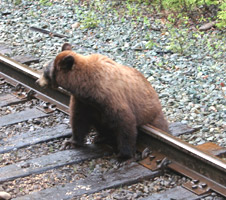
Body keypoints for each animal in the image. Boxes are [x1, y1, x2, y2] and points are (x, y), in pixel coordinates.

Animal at [37, 42, 169, 159]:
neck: (86, 86)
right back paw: (100, 137)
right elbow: (79, 118)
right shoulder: (83, 101)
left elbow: (124, 121)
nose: (37, 81)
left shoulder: (109, 96)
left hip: (153, 117)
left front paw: (123, 155)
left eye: (45, 71)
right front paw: (71, 142)